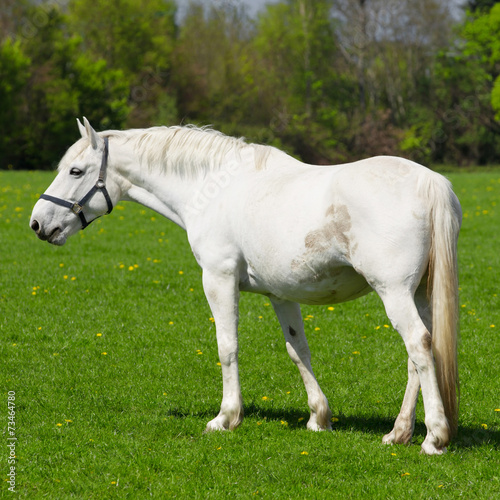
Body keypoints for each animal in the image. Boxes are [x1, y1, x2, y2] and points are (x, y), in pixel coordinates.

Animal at [30, 118, 460, 454]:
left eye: (75, 171)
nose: (37, 223)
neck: (211, 187)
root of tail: (431, 182)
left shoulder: (218, 278)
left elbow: (227, 346)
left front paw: (226, 417)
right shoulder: (281, 294)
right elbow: (298, 350)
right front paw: (319, 417)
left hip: (394, 292)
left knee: (419, 347)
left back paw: (434, 437)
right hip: (417, 295)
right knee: (418, 355)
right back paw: (399, 433)